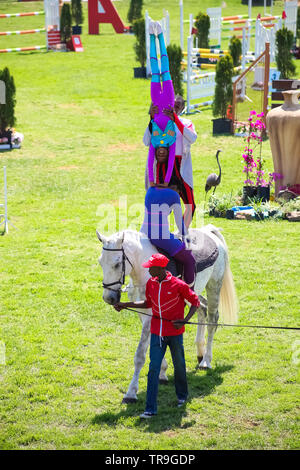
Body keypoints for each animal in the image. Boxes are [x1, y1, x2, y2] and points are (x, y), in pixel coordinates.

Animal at [97, 226, 238, 402]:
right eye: (100, 262)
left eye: (117, 264)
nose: (109, 298)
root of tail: (209, 231)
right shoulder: (144, 314)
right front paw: (162, 372)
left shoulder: (150, 316)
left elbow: (140, 355)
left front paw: (131, 392)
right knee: (202, 309)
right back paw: (200, 352)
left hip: (214, 286)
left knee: (212, 320)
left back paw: (206, 360)